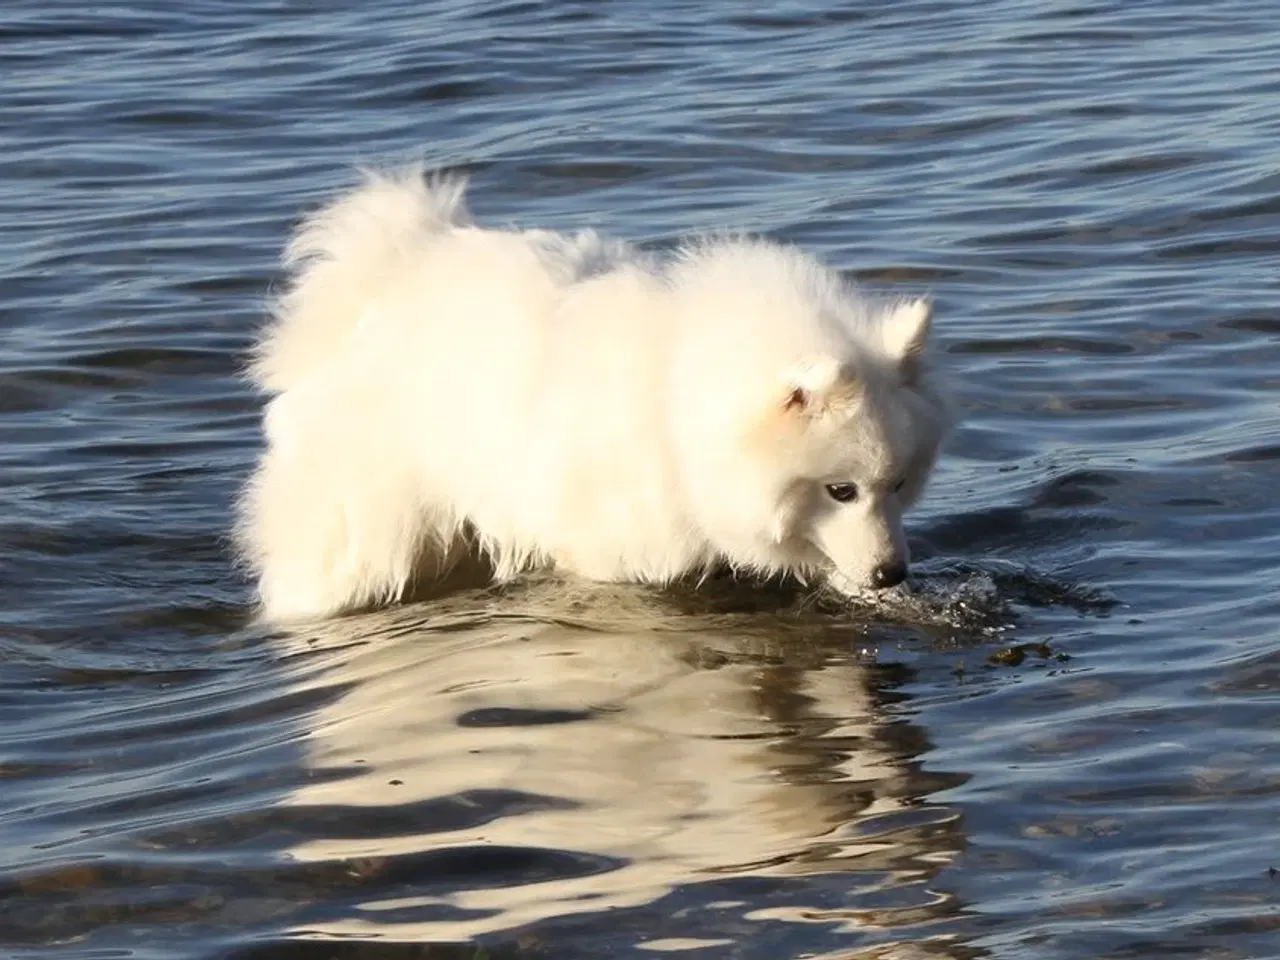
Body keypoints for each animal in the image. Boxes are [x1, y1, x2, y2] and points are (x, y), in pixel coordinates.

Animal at [240, 167, 957, 619]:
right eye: (841, 490)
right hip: (364, 533)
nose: (894, 573)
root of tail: (379, 282)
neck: (673, 407)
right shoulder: (608, 552)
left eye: (899, 486)